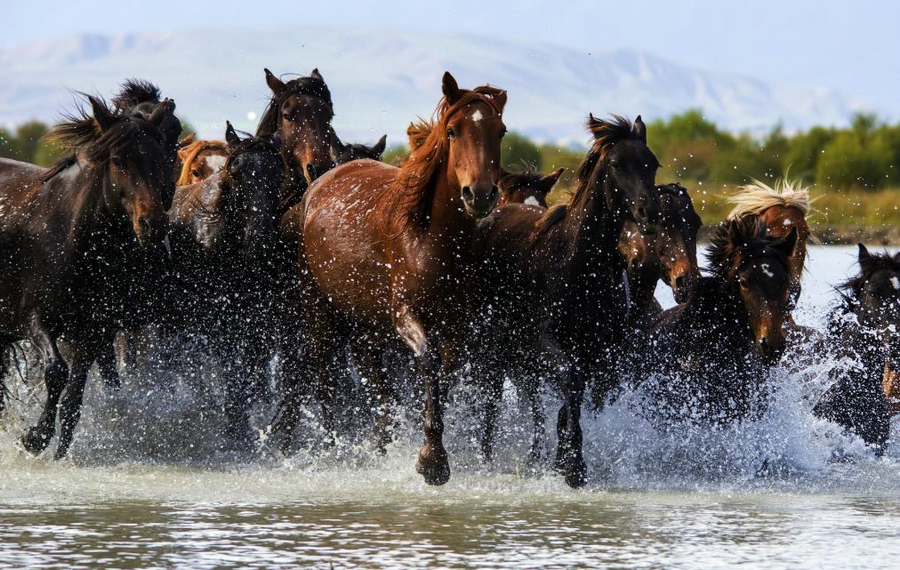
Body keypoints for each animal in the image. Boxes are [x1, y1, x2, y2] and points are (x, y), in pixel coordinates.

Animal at [0, 95, 173, 458]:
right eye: (119, 160)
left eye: (159, 158)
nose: (153, 224)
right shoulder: (36, 320)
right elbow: (56, 372)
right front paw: (34, 437)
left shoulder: (92, 331)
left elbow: (73, 400)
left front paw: (59, 451)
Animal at [165, 122, 285, 442]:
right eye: (237, 173)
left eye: (277, 173)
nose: (260, 239)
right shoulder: (219, 323)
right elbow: (231, 371)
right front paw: (235, 426)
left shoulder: (255, 323)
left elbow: (249, 374)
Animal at [277, 72, 507, 485]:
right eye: (452, 130)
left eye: (501, 131)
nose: (480, 195)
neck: (431, 240)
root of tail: (314, 188)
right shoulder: (405, 315)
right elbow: (429, 362)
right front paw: (432, 460)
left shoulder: (457, 322)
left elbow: (445, 374)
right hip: (319, 310)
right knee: (324, 378)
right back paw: (332, 450)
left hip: (369, 322)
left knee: (368, 364)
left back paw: (380, 438)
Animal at [475, 114, 661, 486]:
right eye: (616, 163)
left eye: (653, 163)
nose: (649, 212)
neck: (578, 266)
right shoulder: (545, 343)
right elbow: (570, 382)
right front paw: (574, 466)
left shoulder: (602, 354)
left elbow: (575, 400)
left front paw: (563, 459)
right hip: (495, 349)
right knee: (492, 402)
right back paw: (487, 459)